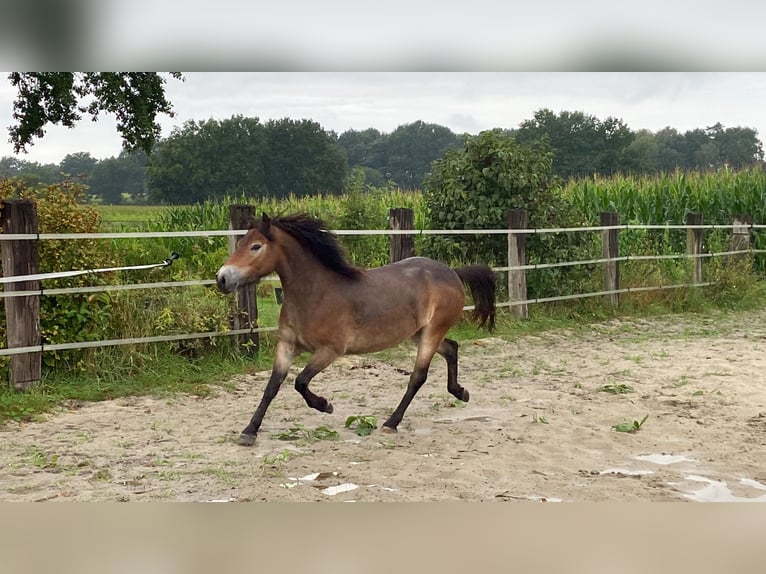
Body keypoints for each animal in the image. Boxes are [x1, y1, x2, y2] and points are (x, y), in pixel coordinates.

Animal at [214, 214, 498, 448]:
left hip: (431, 332)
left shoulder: (330, 350)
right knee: (451, 348)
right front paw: (249, 431)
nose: (222, 278)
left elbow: (300, 382)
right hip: (420, 331)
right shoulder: (287, 345)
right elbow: (272, 387)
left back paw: (391, 423)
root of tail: (452, 272)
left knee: (418, 376)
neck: (316, 294)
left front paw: (325, 405)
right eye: (241, 243)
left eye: (256, 246)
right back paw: (460, 392)